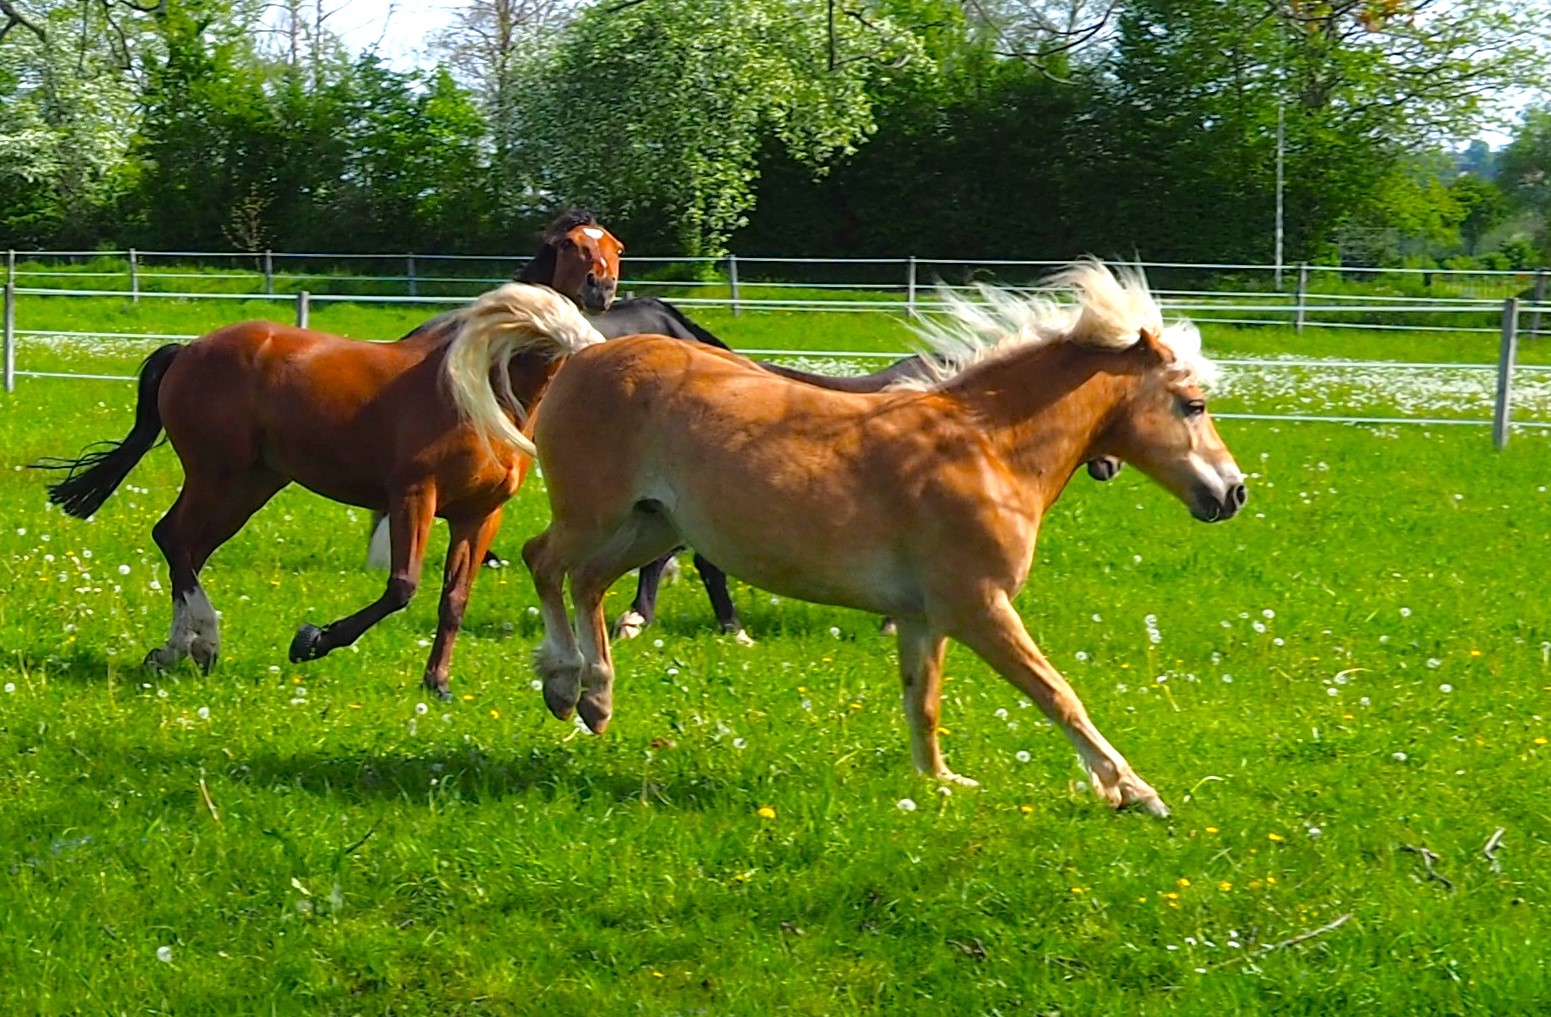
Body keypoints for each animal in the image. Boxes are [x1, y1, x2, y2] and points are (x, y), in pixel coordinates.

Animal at [40, 285, 598, 700]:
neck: (481, 391)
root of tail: (187, 351)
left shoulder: (478, 516)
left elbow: (453, 600)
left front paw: (436, 684)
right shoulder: (413, 496)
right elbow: (401, 587)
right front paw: (312, 641)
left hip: (251, 486)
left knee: (187, 547)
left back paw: (181, 650)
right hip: (216, 474)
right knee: (174, 539)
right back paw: (198, 645)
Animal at [496, 258, 1247, 812]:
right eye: (1193, 404)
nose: (1233, 492)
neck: (988, 447)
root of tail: (587, 349)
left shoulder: (922, 617)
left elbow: (924, 701)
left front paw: (940, 781)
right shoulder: (980, 607)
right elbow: (1058, 693)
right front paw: (1135, 792)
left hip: (651, 525)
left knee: (588, 581)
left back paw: (594, 699)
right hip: (596, 514)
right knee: (544, 561)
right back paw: (563, 683)